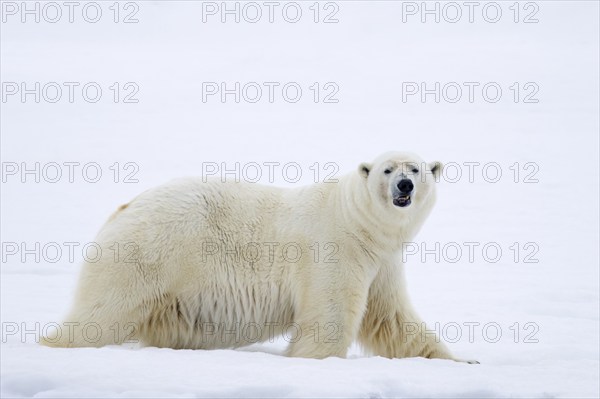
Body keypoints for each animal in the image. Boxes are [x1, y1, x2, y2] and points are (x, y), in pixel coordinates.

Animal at [43, 152, 474, 362]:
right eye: (387, 170)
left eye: (416, 168)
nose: (404, 185)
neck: (357, 220)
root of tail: (125, 207)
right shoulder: (335, 248)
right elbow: (331, 315)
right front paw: (314, 360)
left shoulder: (382, 263)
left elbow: (393, 320)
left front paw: (462, 362)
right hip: (149, 254)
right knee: (101, 313)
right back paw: (56, 343)